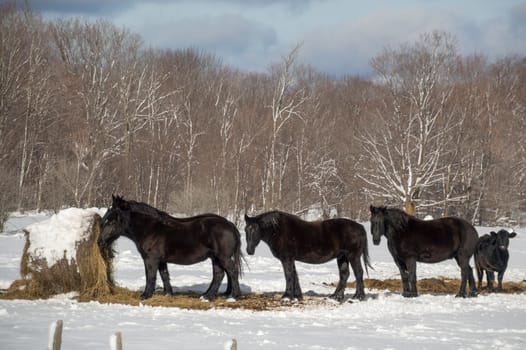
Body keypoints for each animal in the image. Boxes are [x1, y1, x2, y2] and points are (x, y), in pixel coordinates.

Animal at [98, 196, 243, 300]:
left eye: (112, 221)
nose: (100, 242)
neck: (150, 228)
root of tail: (229, 224)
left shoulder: (150, 259)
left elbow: (150, 276)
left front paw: (145, 295)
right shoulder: (161, 260)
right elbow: (164, 275)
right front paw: (168, 293)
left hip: (223, 257)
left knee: (232, 272)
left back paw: (234, 296)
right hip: (215, 258)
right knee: (219, 274)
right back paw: (208, 296)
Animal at [245, 209, 374, 302]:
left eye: (255, 230)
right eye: (246, 230)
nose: (249, 251)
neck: (278, 231)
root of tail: (360, 227)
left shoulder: (286, 259)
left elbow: (288, 275)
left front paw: (286, 296)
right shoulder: (291, 259)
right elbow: (294, 275)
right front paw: (297, 296)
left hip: (353, 256)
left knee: (358, 273)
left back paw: (358, 297)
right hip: (342, 257)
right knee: (344, 274)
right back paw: (336, 297)